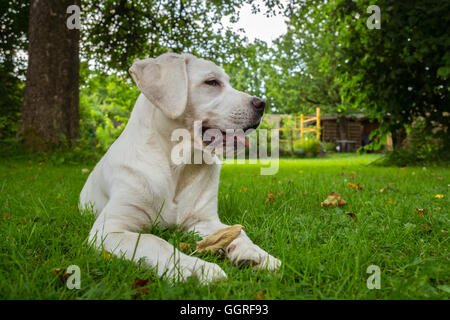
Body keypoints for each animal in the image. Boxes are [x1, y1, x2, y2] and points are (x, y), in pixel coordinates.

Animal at [79, 53, 280, 284]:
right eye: (212, 82)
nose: (262, 104)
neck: (178, 166)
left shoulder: (204, 221)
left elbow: (237, 232)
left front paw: (255, 252)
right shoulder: (110, 229)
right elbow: (155, 241)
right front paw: (195, 268)